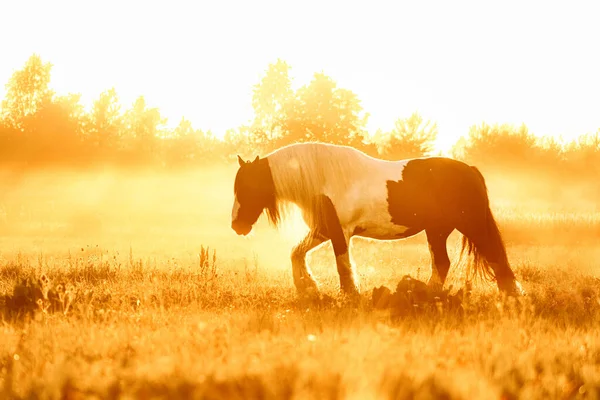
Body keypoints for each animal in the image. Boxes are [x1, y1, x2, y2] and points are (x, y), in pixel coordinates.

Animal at [232, 142, 524, 298]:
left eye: (245, 187)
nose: (237, 226)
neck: (324, 178)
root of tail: (470, 170)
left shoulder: (339, 232)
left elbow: (343, 265)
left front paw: (349, 295)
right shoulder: (323, 230)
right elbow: (296, 252)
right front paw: (308, 287)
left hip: (470, 225)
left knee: (495, 256)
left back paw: (510, 294)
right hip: (437, 231)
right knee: (442, 263)